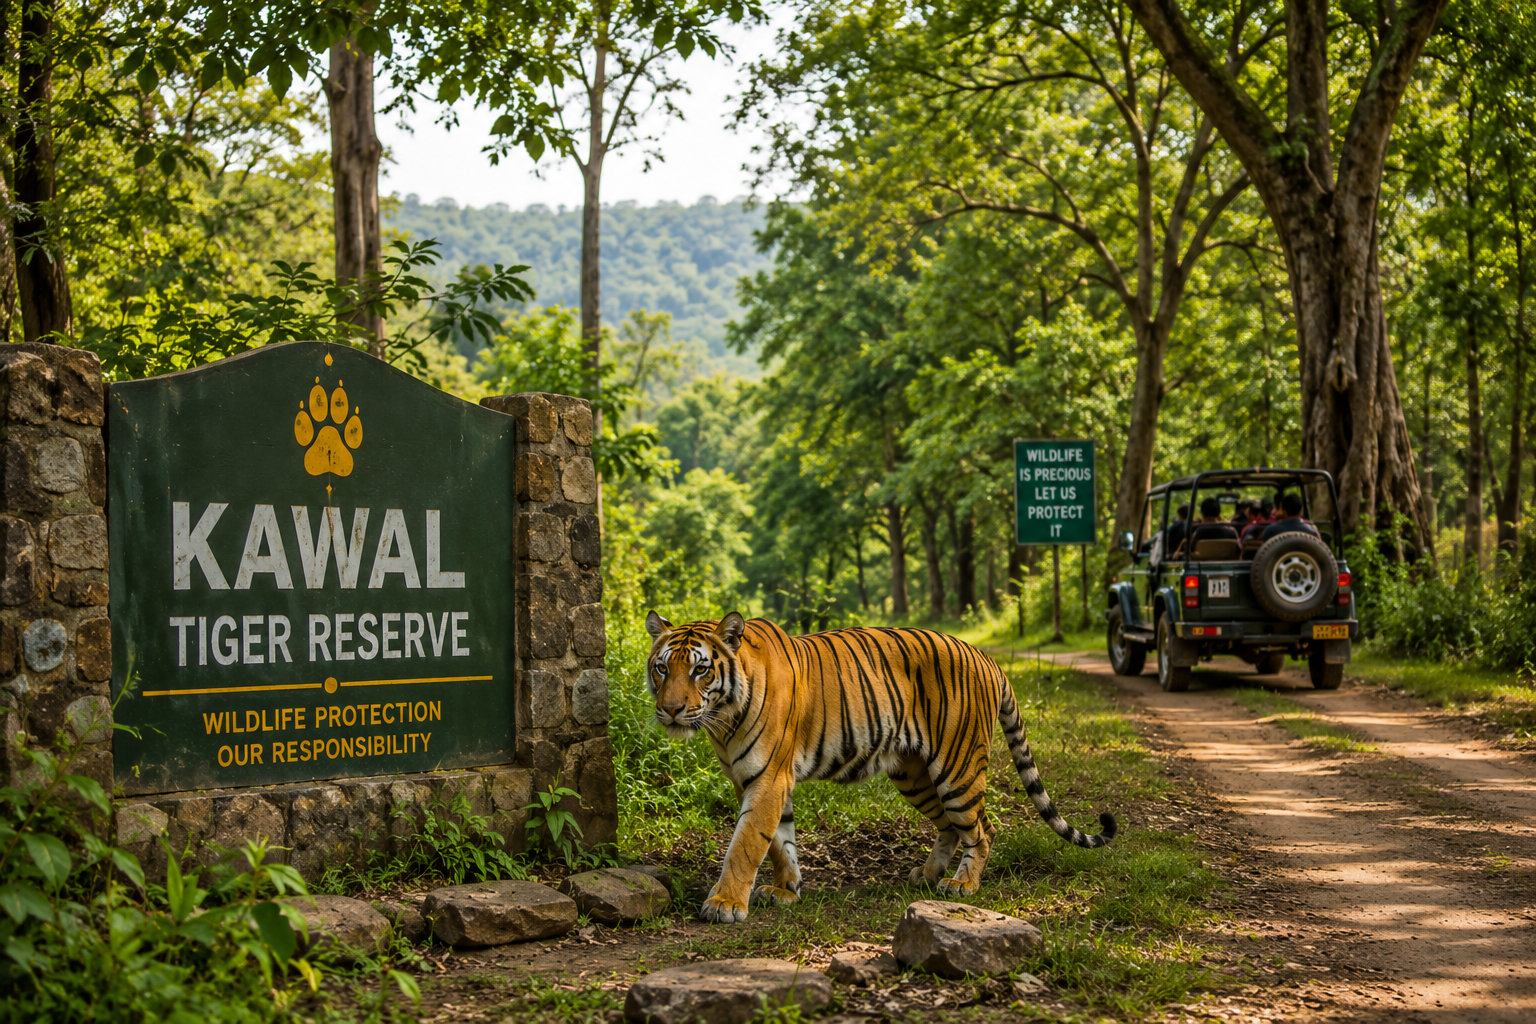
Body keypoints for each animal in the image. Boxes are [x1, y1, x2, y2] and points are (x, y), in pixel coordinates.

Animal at [644, 610, 1117, 923]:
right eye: (662, 668)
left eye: (701, 670)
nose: (670, 710)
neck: (722, 720)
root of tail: (986, 657)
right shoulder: (754, 780)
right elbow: (779, 841)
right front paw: (786, 890)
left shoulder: (768, 778)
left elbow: (745, 844)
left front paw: (725, 903)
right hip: (913, 774)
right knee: (949, 826)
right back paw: (928, 874)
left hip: (957, 768)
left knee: (982, 829)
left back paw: (962, 884)